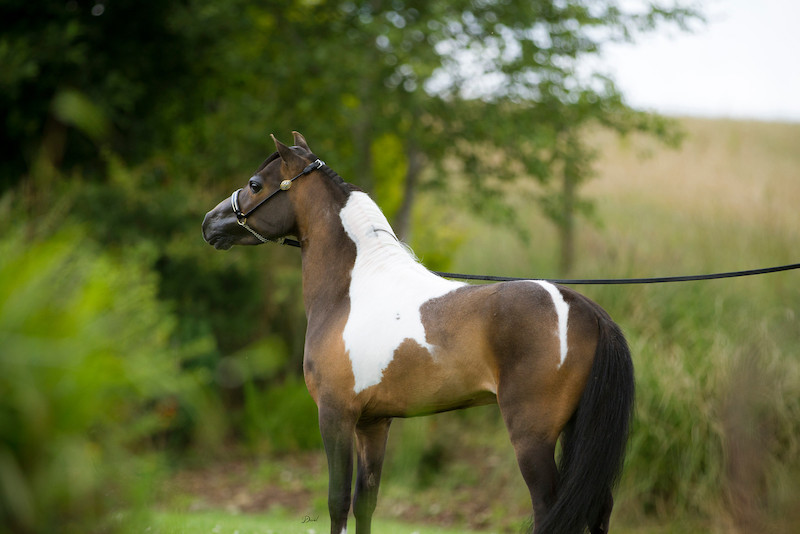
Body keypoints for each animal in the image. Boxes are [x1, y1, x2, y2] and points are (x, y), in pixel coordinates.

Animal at [202, 132, 635, 534]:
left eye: (256, 184)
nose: (209, 222)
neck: (351, 290)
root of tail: (586, 308)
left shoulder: (335, 414)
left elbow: (337, 502)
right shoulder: (373, 423)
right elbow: (365, 502)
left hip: (533, 437)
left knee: (549, 508)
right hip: (576, 431)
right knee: (598, 506)